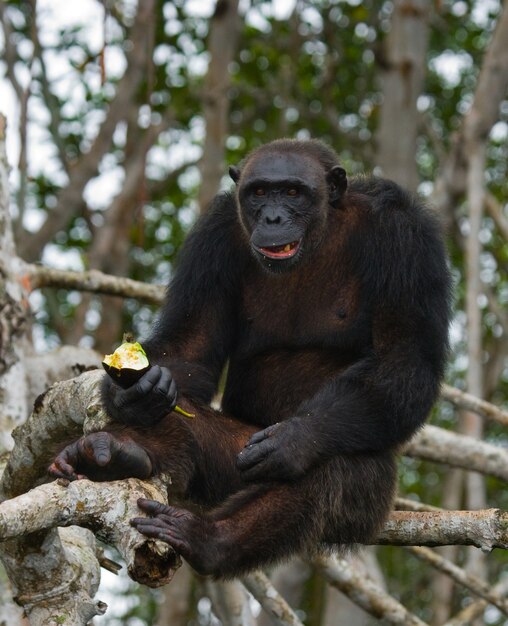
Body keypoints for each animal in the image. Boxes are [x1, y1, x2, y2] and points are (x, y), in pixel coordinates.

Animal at [49, 139, 450, 576]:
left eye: (292, 192)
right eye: (259, 192)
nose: (273, 216)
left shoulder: (405, 238)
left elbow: (405, 358)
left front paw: (297, 438)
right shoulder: (214, 237)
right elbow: (191, 343)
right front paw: (134, 392)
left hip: (365, 499)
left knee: (328, 465)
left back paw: (209, 539)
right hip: (228, 472)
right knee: (182, 420)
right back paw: (115, 454)